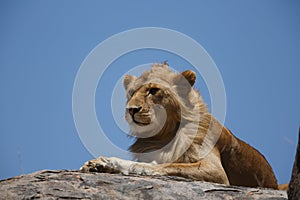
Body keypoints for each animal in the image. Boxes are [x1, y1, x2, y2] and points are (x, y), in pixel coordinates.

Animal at [80, 62, 278, 189]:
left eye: (153, 90)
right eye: (131, 92)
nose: (131, 110)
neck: (163, 137)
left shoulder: (215, 171)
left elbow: (160, 166)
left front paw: (108, 162)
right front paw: (98, 164)